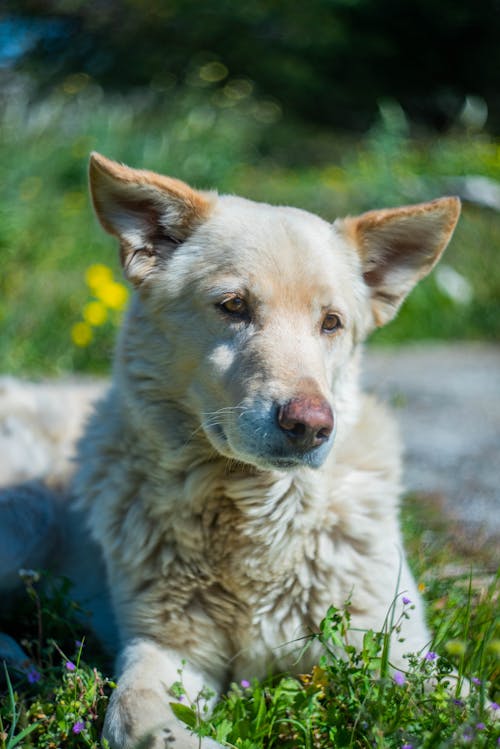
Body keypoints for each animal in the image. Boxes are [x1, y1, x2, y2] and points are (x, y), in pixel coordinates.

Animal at [1, 153, 460, 748]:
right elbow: (135, 715)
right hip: (25, 520)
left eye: (331, 323)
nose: (310, 425)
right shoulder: (166, 648)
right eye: (234, 306)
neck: (252, 516)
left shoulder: (396, 651)